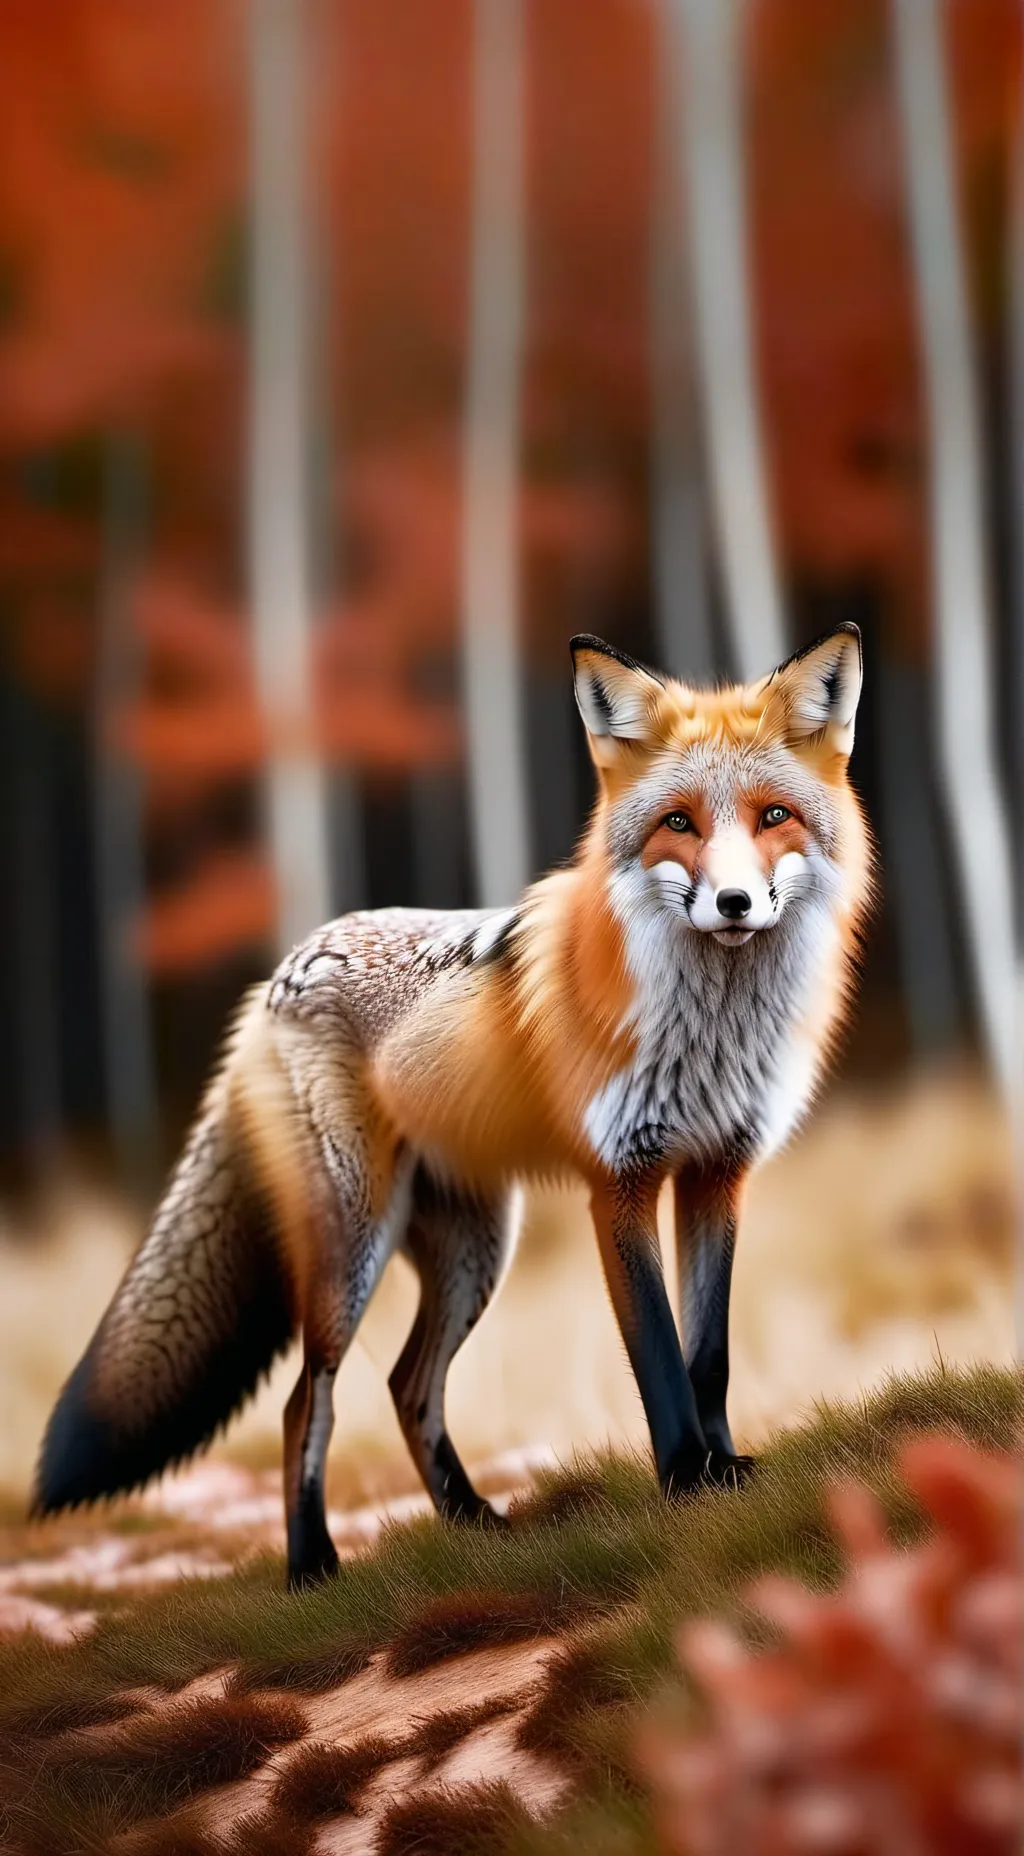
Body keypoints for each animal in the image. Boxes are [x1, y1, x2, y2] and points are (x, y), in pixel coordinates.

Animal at [34, 625, 872, 1587]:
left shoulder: (715, 1173)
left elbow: (709, 1356)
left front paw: (722, 1470)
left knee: (407, 1385)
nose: (734, 903)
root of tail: (280, 974)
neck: (713, 1033)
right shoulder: (618, 1182)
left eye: (773, 817)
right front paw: (683, 1481)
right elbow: (660, 1358)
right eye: (679, 824)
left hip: (476, 1250)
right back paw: (312, 1564)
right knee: (305, 1403)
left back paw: (473, 1522)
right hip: (351, 1252)